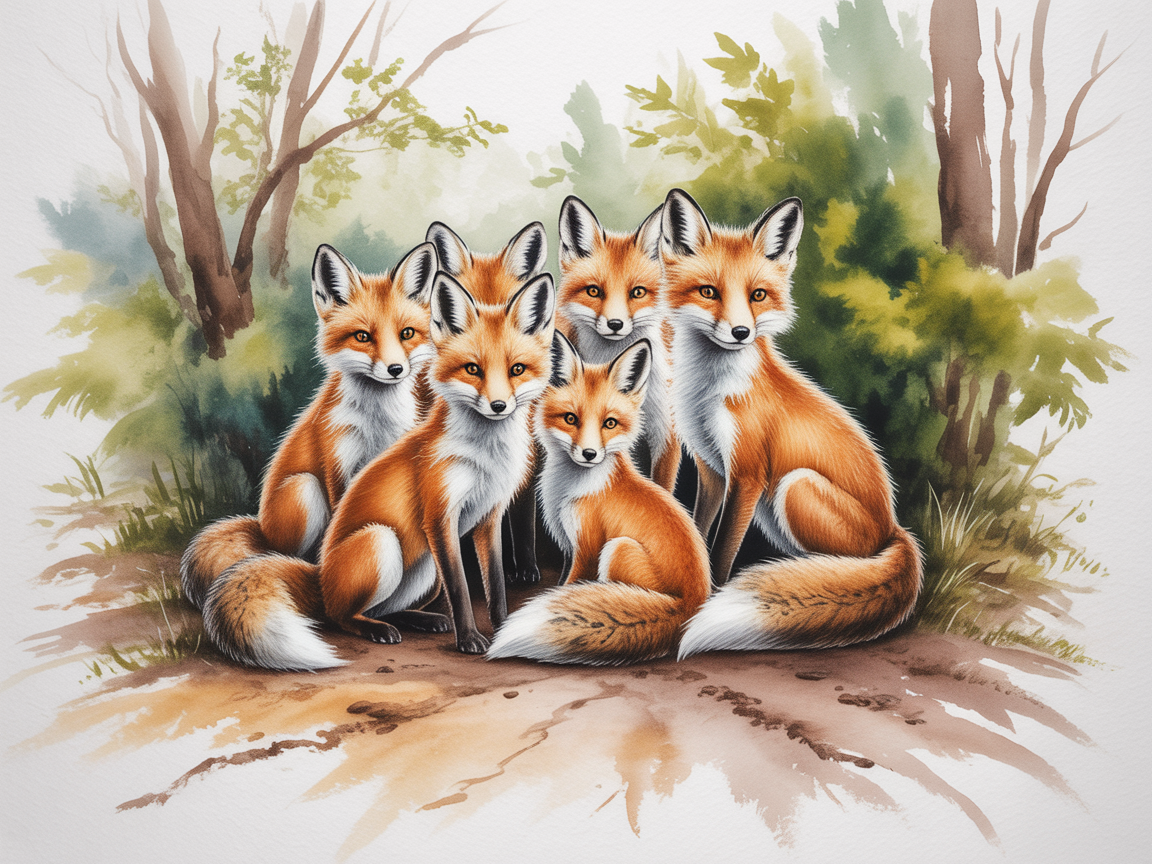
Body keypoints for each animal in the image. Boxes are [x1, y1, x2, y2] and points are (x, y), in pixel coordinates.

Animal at [179, 243, 438, 668]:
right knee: (305, 568)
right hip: (304, 489)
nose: (395, 369)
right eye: (363, 336)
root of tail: (260, 526)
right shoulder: (336, 464)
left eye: (407, 334)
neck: (376, 422)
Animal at [318, 270, 556, 656]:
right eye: (473, 369)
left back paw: (420, 619)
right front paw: (470, 639)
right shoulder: (440, 518)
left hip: (426, 572)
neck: (485, 459)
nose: (499, 406)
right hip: (383, 541)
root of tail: (319, 579)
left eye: (517, 369)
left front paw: (502, 628)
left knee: (388, 608)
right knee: (342, 616)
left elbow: (496, 587)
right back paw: (375, 628)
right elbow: (459, 588)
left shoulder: (489, 517)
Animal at [486, 333, 710, 665]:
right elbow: (564, 587)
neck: (571, 490)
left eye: (610, 423)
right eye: (571, 419)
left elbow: (571, 585)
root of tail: (689, 610)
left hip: (618, 548)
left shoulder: (588, 547)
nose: (589, 454)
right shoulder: (570, 544)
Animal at [656, 188, 923, 657]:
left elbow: (722, 550)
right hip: (773, 509)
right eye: (709, 292)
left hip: (792, 487)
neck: (710, 391)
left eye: (758, 295)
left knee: (848, 567)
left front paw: (710, 598)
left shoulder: (747, 474)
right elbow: (701, 533)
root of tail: (894, 527)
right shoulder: (711, 470)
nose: (741, 332)